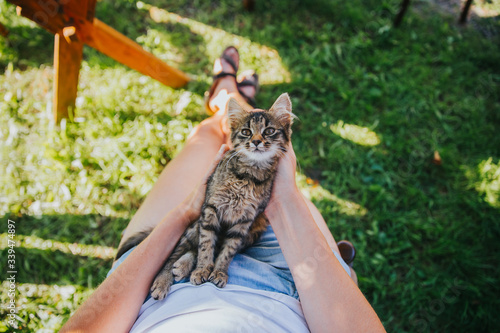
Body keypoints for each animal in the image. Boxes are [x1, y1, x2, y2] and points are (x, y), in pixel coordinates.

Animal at [115, 92, 294, 300]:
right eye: (246, 132)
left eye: (269, 131)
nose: (256, 141)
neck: (248, 176)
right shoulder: (210, 209)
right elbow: (206, 245)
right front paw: (202, 269)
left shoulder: (244, 222)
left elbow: (226, 251)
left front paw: (219, 272)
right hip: (193, 226)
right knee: (176, 252)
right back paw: (165, 278)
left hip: (252, 233)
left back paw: (182, 266)